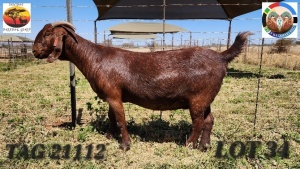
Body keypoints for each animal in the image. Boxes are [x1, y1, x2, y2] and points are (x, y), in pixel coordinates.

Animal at [32, 21, 252, 151]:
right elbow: (112, 118)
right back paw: (204, 146)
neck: (95, 58)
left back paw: (189, 145)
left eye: (48, 33)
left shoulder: (114, 95)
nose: (34, 51)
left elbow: (121, 119)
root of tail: (221, 56)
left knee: (198, 122)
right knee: (209, 120)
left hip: (198, 97)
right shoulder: (112, 96)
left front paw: (125, 145)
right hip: (206, 97)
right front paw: (109, 137)